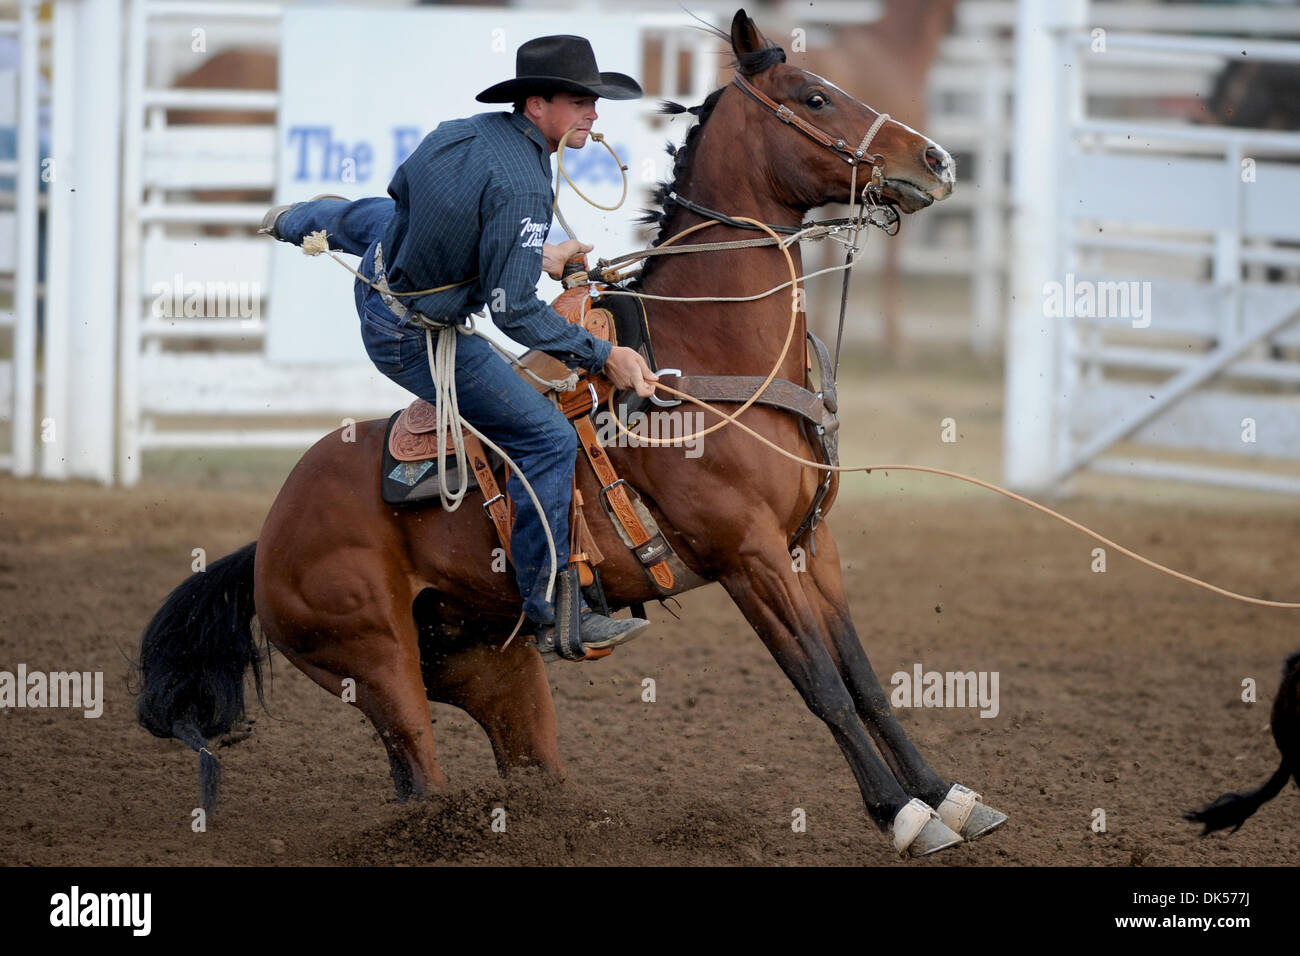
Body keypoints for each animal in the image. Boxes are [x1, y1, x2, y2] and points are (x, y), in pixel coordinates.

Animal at [137, 7, 1003, 858]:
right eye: (815, 97)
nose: (937, 159)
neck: (711, 356)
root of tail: (267, 537)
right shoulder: (747, 555)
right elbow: (822, 685)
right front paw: (898, 813)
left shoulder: (809, 547)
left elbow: (864, 679)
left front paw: (946, 797)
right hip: (376, 661)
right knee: (419, 775)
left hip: (492, 663)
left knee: (522, 764)